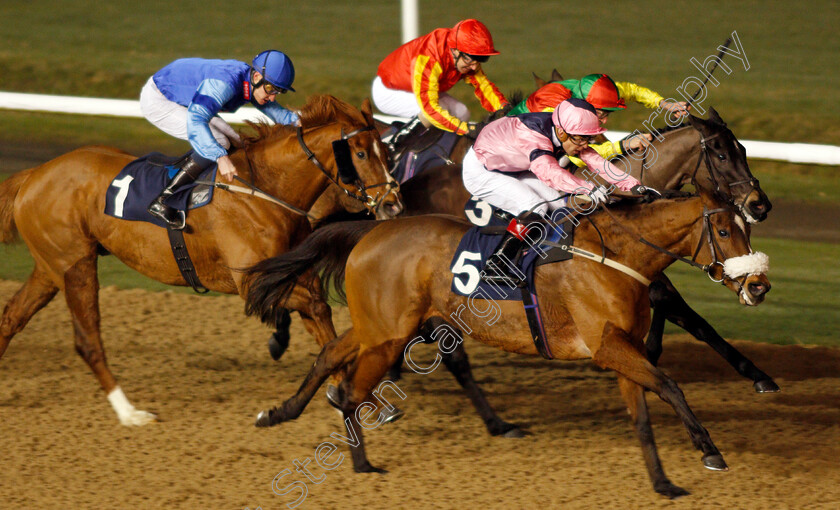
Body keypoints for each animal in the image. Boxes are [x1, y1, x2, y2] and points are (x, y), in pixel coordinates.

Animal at [0, 94, 404, 426]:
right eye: (361, 154)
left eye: (388, 154)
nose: (393, 206)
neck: (265, 189)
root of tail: (34, 174)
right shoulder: (249, 282)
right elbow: (319, 309)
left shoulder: (290, 275)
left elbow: (323, 326)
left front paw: (360, 400)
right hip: (75, 264)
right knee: (87, 340)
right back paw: (130, 413)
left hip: (50, 268)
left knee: (12, 317)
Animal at [241, 189, 768, 496]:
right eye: (724, 229)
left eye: (748, 227)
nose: (760, 285)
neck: (616, 257)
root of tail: (375, 228)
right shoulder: (607, 348)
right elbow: (671, 386)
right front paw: (709, 451)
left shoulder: (625, 349)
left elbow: (642, 415)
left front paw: (663, 482)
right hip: (388, 334)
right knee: (352, 388)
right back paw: (361, 464)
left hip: (380, 326)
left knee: (332, 356)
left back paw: (280, 413)